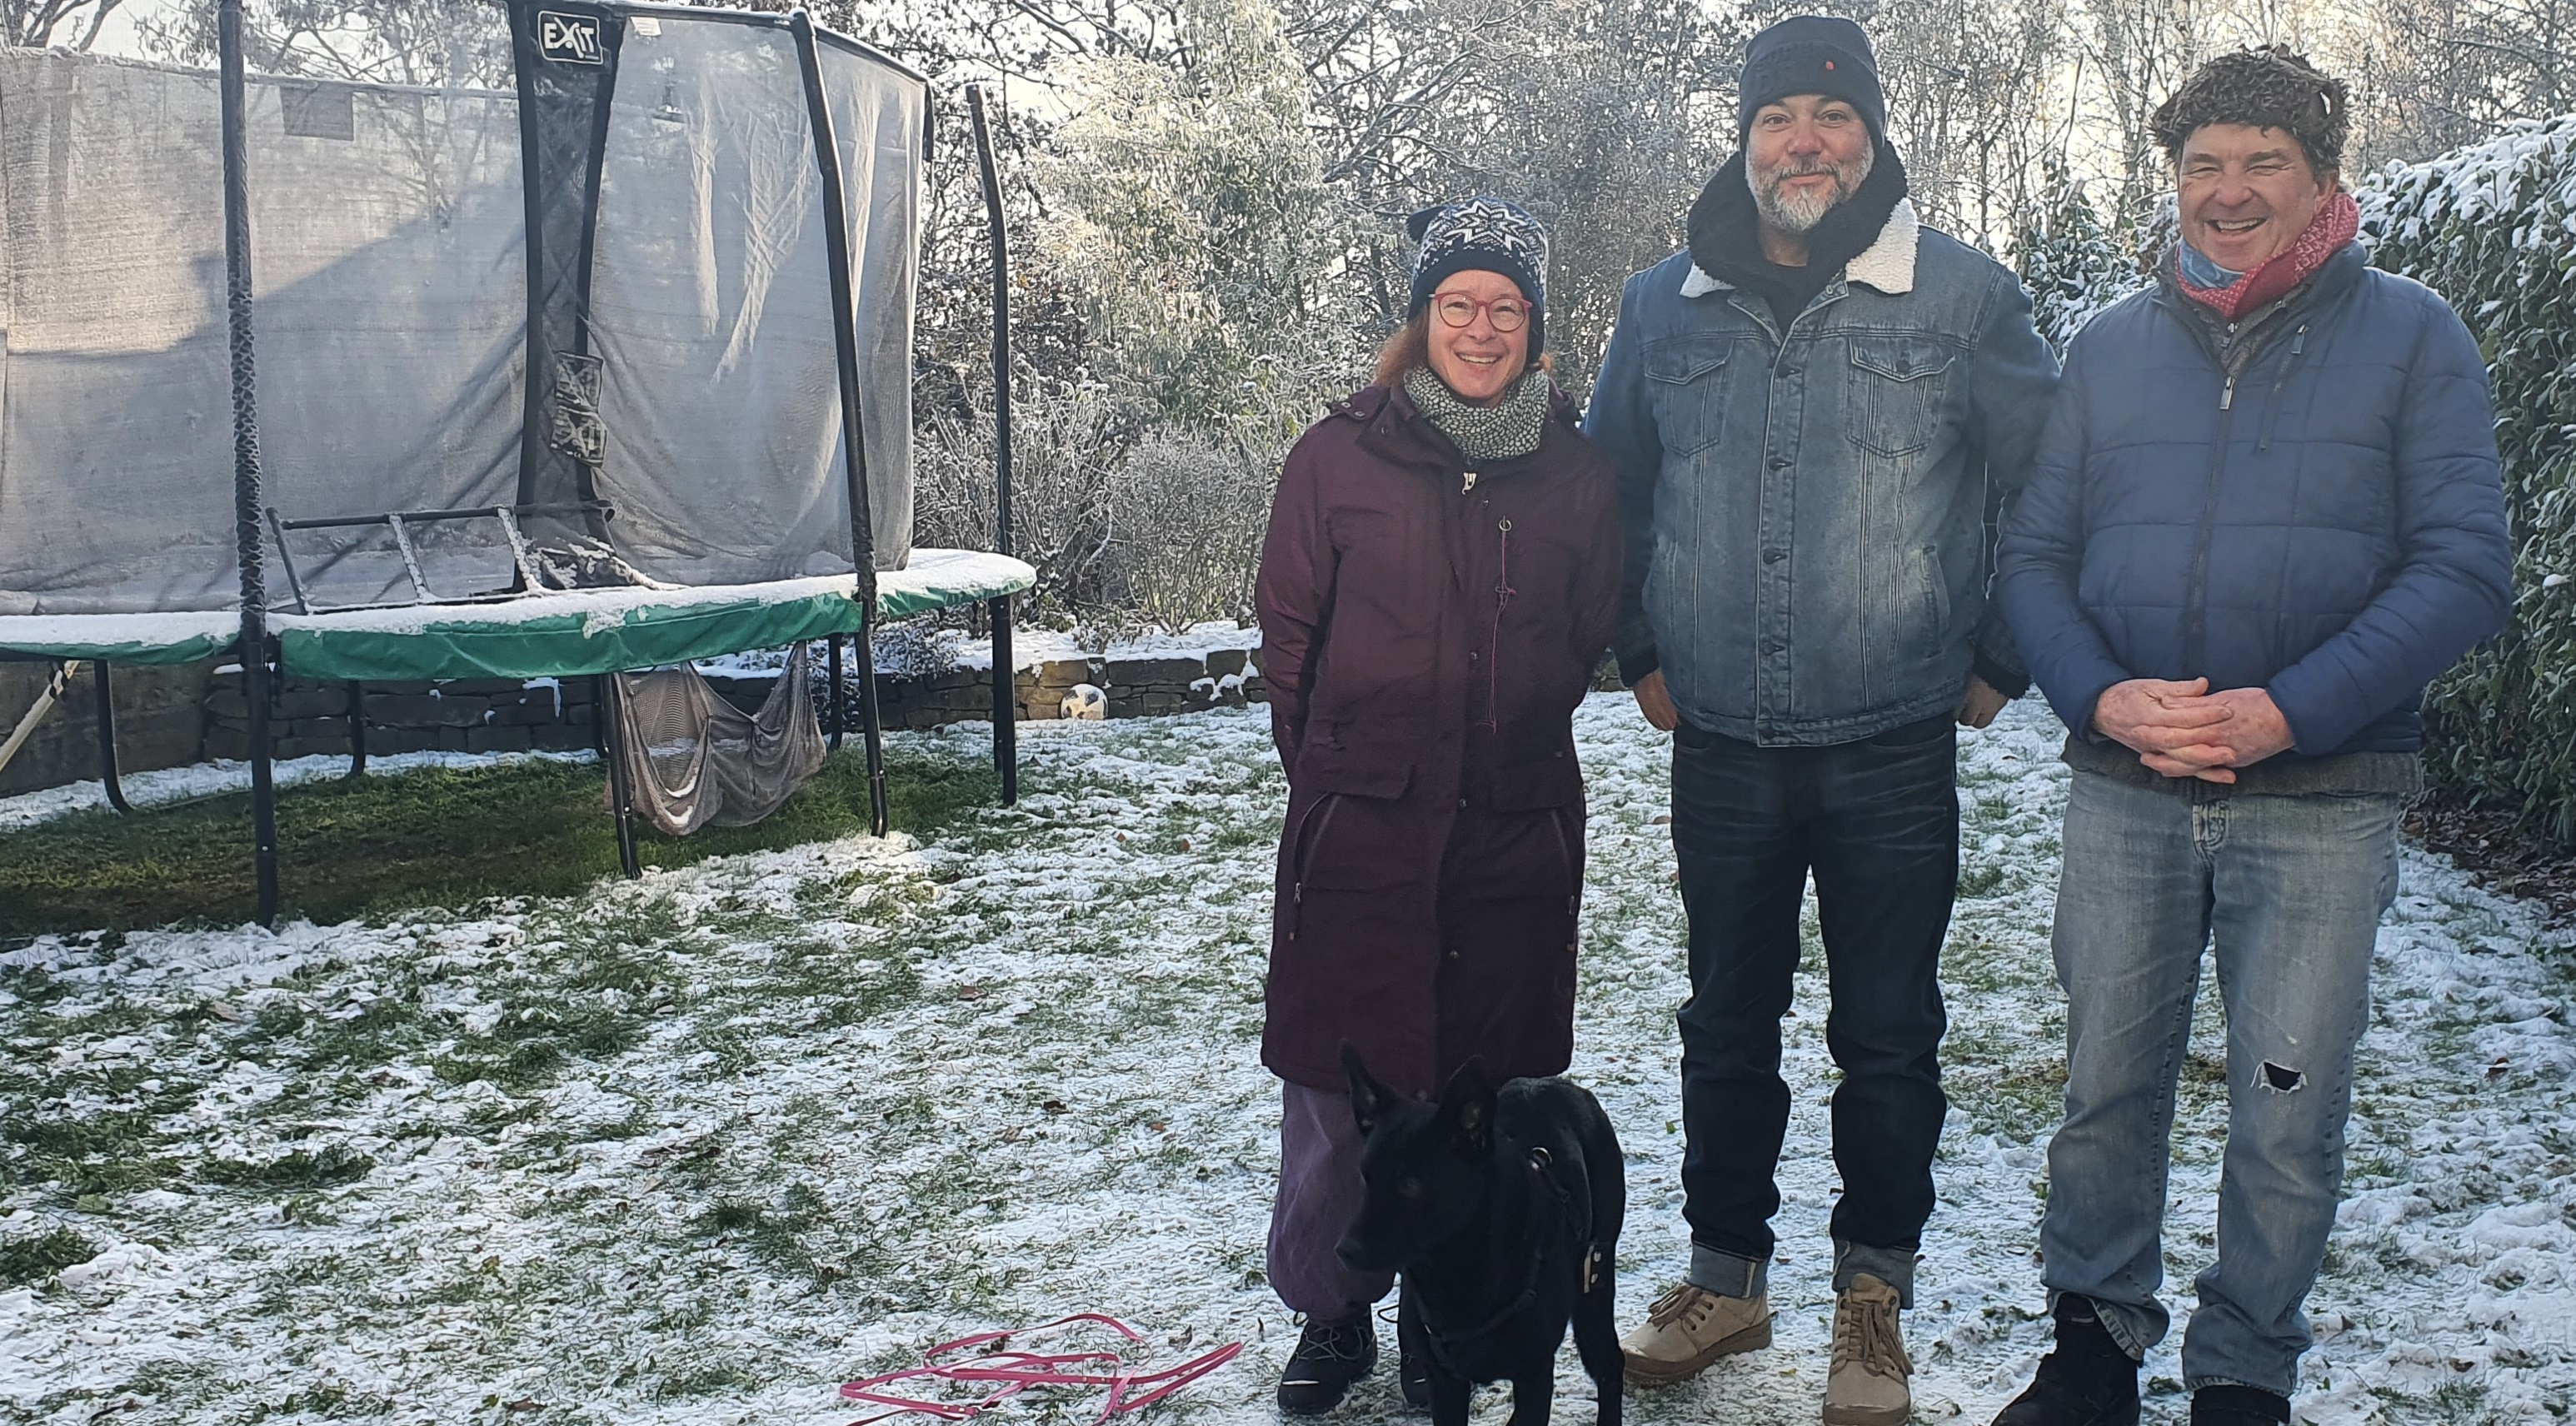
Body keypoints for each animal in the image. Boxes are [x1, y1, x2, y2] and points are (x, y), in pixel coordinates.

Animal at [1339, 1045, 1617, 1420]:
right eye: (1364, 1175)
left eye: (1410, 1184)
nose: (1345, 1251)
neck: (1453, 1273)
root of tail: (1558, 1084)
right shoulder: (1444, 1382)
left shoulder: (1534, 1375)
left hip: (1594, 1288)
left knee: (1610, 1364)